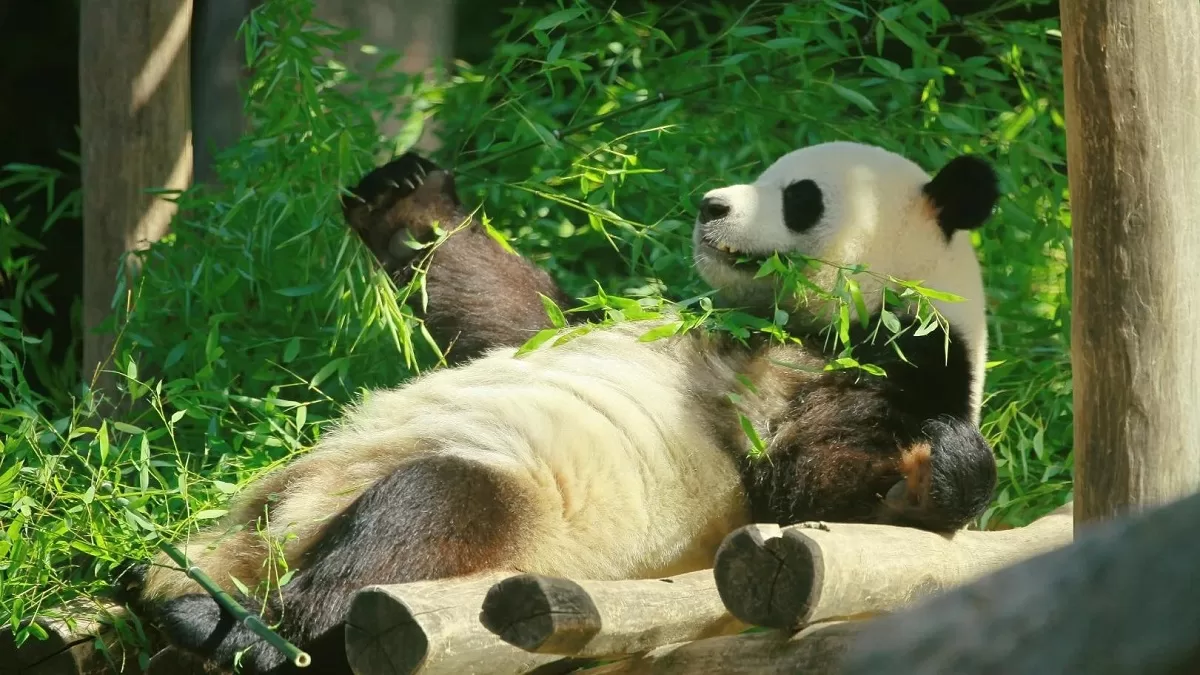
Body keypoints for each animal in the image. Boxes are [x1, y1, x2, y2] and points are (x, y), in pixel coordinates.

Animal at [125, 141, 1000, 674]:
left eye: (800, 196)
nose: (711, 205)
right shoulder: (606, 316)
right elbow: (507, 307)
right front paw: (404, 190)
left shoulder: (887, 363)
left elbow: (812, 482)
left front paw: (934, 472)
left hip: (520, 535)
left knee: (424, 518)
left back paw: (239, 632)